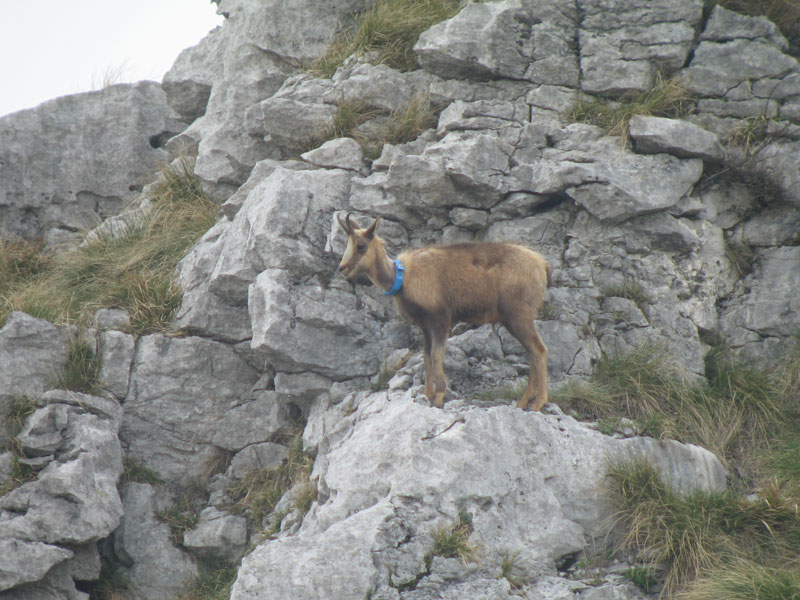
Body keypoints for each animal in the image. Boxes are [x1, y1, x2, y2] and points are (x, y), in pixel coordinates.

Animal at [337, 213, 551, 411]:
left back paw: (539, 402)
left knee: (539, 349)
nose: (342, 268)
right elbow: (426, 356)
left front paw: (439, 395)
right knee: (532, 351)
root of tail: (542, 265)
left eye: (361, 246)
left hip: (519, 314)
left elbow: (437, 354)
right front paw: (428, 394)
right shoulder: (424, 326)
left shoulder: (441, 318)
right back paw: (523, 401)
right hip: (512, 319)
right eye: (347, 244)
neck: (403, 279)